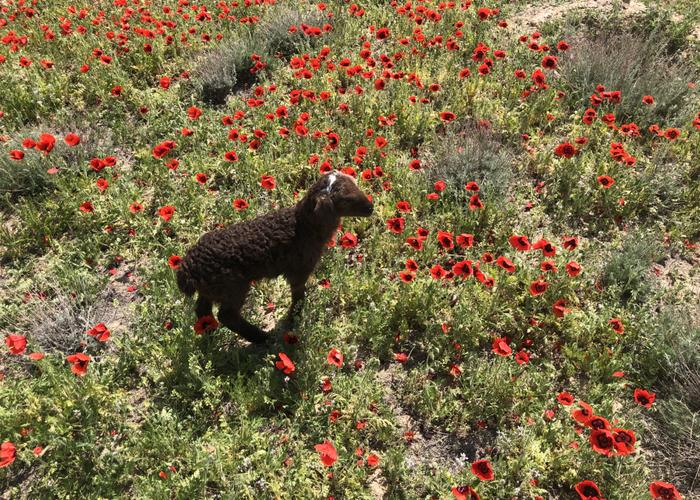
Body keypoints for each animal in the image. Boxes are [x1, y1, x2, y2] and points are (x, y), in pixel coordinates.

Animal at [176, 171, 372, 344]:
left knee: (202, 309)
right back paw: (261, 338)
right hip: (232, 286)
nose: (371, 208)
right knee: (227, 315)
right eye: (346, 199)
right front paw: (295, 318)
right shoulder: (299, 269)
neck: (303, 226)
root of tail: (188, 269)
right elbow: (298, 295)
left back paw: (210, 333)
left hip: (212, 288)